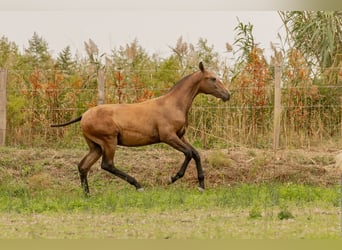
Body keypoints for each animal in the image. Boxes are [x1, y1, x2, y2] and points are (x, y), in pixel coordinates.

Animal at [51, 61, 230, 194]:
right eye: (213, 78)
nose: (227, 95)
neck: (173, 104)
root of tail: (83, 115)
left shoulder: (180, 136)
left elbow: (196, 154)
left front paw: (201, 186)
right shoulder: (168, 137)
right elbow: (188, 153)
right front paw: (172, 178)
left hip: (96, 146)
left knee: (83, 166)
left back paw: (87, 194)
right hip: (109, 142)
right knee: (107, 165)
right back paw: (138, 185)